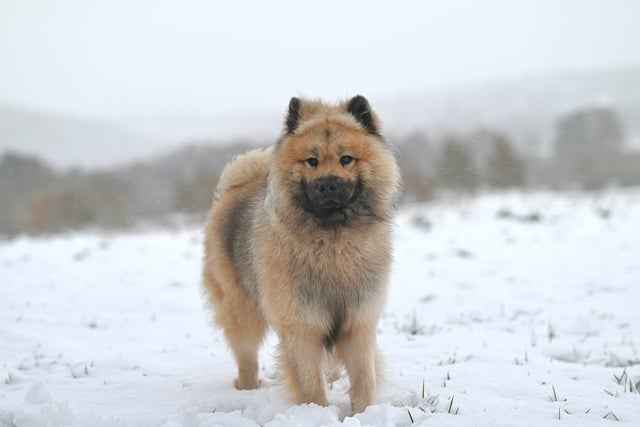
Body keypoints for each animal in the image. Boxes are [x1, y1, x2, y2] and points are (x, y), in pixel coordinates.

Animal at [202, 95, 401, 413]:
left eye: (346, 159)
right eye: (312, 161)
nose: (328, 184)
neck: (333, 243)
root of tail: (237, 186)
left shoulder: (358, 321)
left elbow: (363, 379)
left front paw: (363, 412)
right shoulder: (302, 326)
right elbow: (310, 383)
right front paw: (316, 411)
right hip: (241, 309)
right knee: (246, 355)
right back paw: (246, 388)